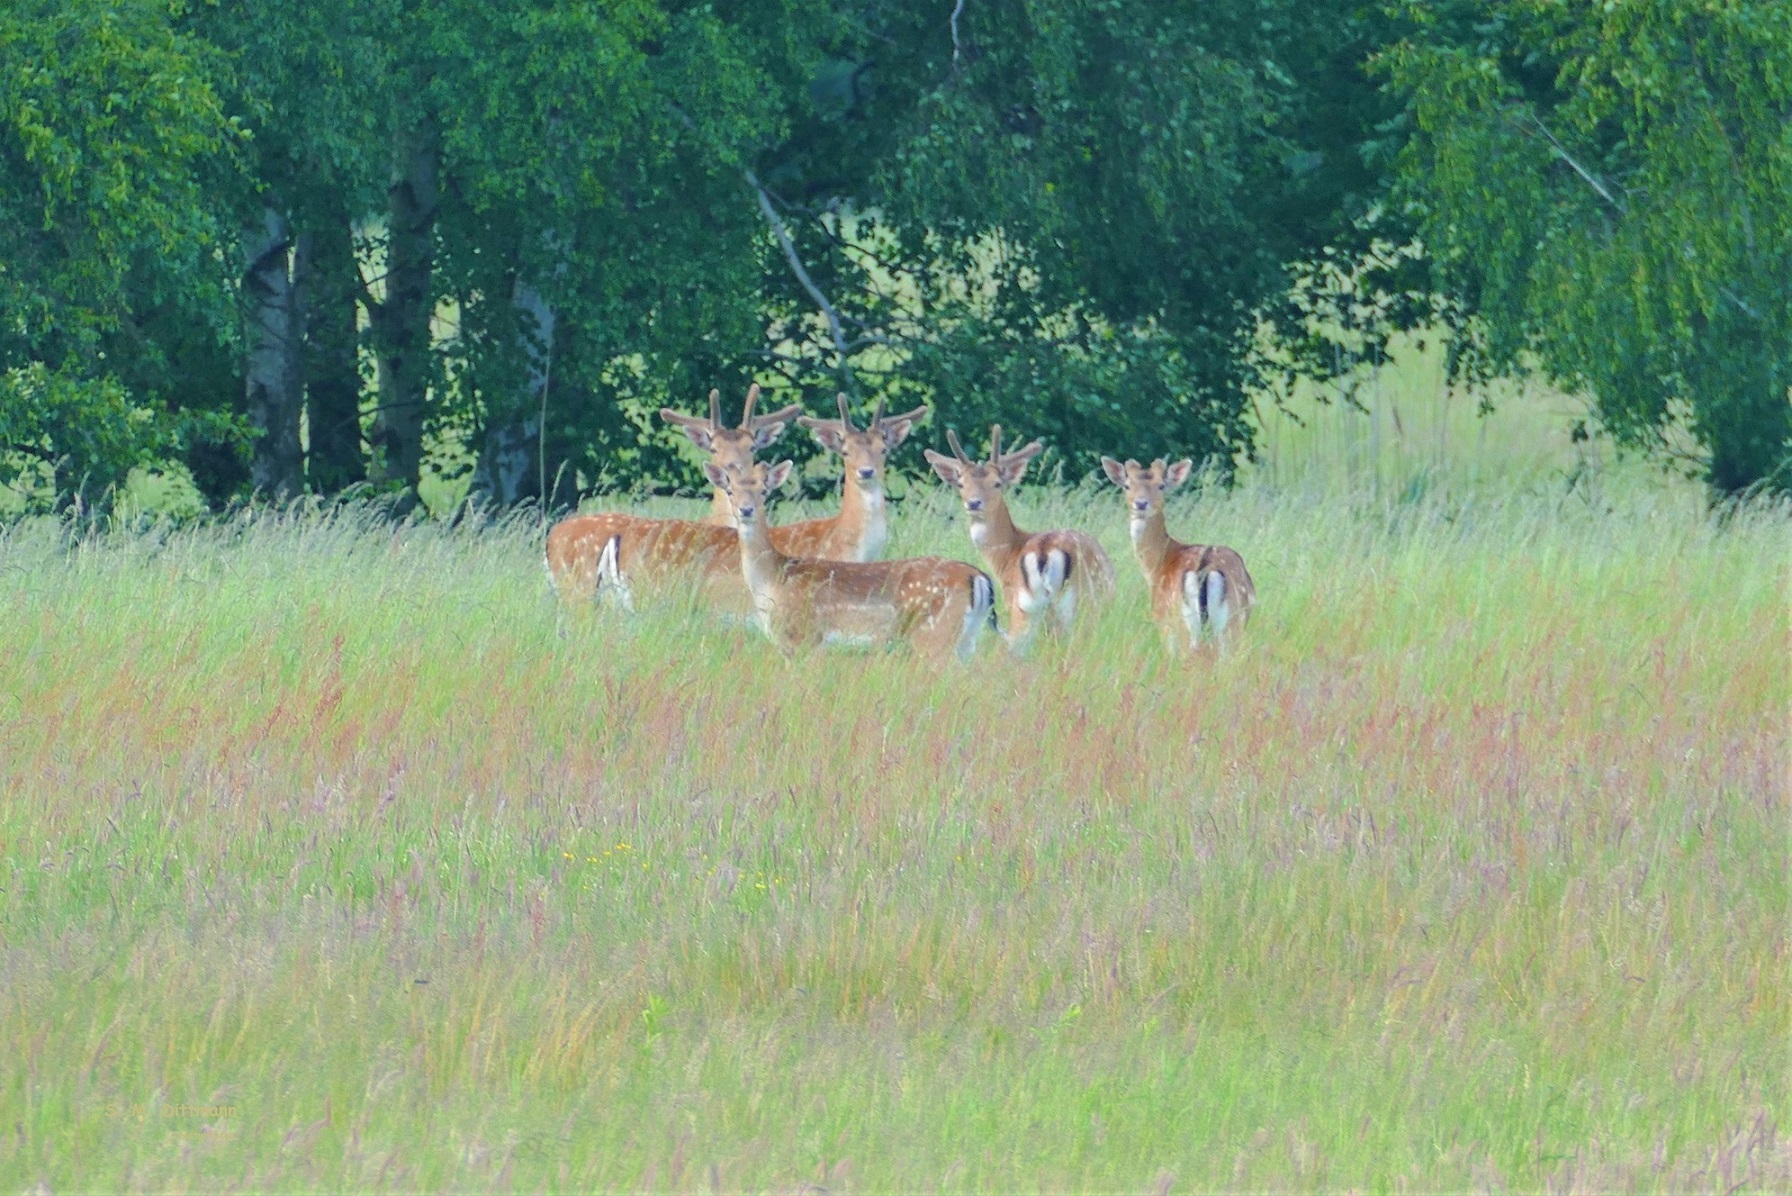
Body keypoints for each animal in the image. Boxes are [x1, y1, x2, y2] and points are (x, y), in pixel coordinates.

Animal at [706, 459, 1003, 663]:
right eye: (730, 490)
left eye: (764, 491)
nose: (745, 510)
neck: (772, 581)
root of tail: (979, 577)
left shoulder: (806, 637)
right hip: (966, 639)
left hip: (934, 635)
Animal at [931, 424, 1111, 649]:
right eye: (961, 484)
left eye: (997, 483)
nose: (973, 503)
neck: (1008, 553)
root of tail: (1044, 552)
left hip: (1044, 604)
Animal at [1096, 455, 1254, 656]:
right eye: (1127, 485)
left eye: (1161, 485)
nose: (1141, 503)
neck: (1155, 567)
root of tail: (1204, 569)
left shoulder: (1162, 621)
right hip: (1229, 624)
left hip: (1185, 623)